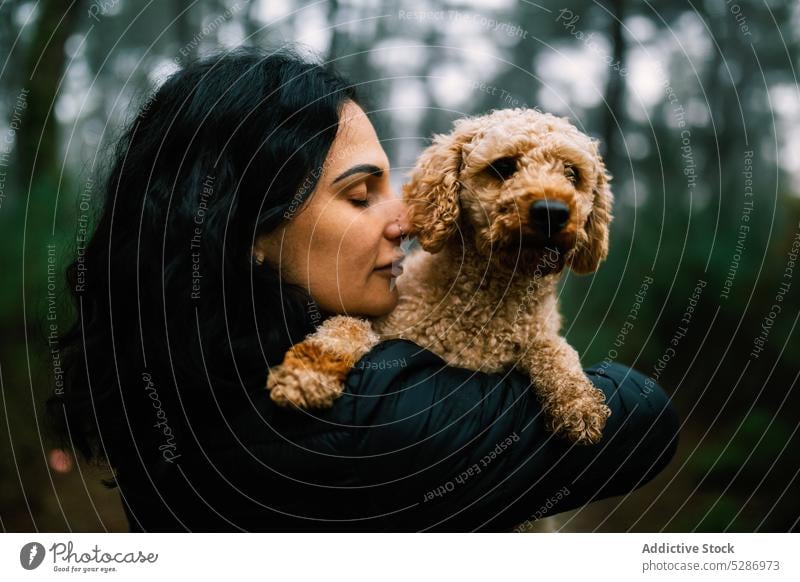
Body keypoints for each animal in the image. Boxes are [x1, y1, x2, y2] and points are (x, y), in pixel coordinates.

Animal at [268, 107, 612, 444]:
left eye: (572, 174)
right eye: (503, 167)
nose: (552, 211)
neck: (490, 303)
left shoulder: (537, 334)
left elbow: (556, 351)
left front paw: (579, 403)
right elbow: (346, 327)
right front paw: (307, 373)